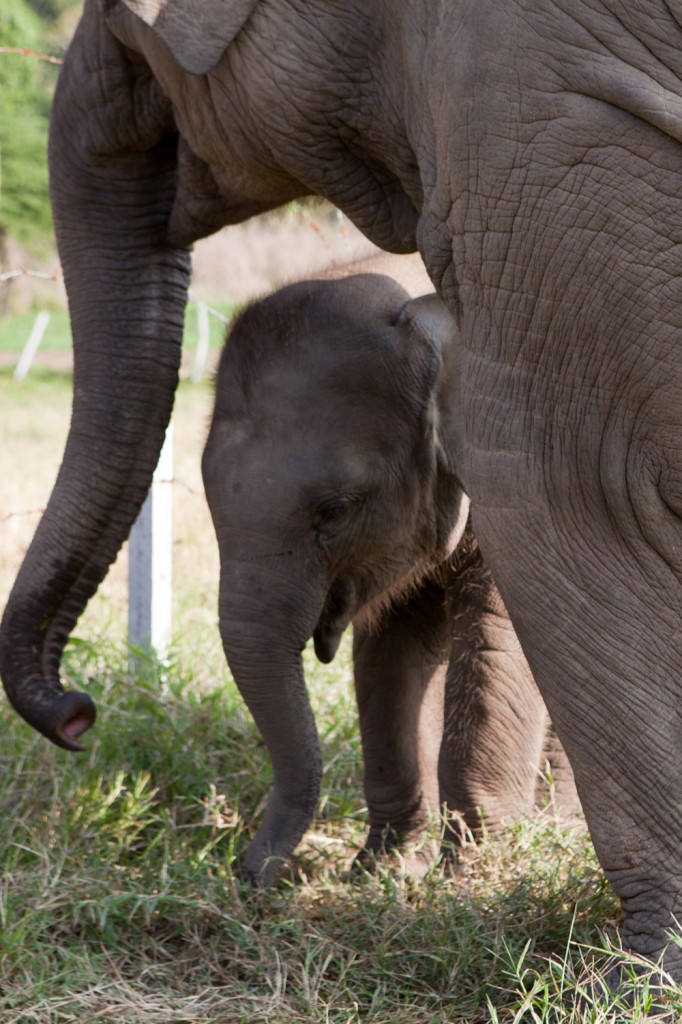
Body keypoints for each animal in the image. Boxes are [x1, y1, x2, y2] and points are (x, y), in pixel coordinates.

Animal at [200, 253, 573, 880]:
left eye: (336, 510)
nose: (247, 874)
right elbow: (392, 650)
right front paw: (386, 870)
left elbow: (499, 640)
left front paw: (468, 877)